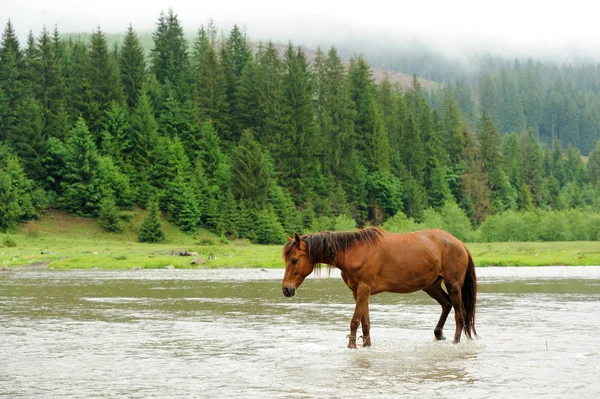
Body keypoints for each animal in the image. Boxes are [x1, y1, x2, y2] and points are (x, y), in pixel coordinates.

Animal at [282, 228, 478, 350]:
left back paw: (455, 342)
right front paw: (366, 345)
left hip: (453, 285)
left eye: (294, 260)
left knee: (459, 314)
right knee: (446, 304)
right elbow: (365, 322)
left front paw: (351, 345)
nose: (286, 289)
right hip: (432, 286)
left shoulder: (363, 289)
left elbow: (355, 320)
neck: (353, 252)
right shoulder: (358, 292)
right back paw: (439, 334)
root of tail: (459, 243)